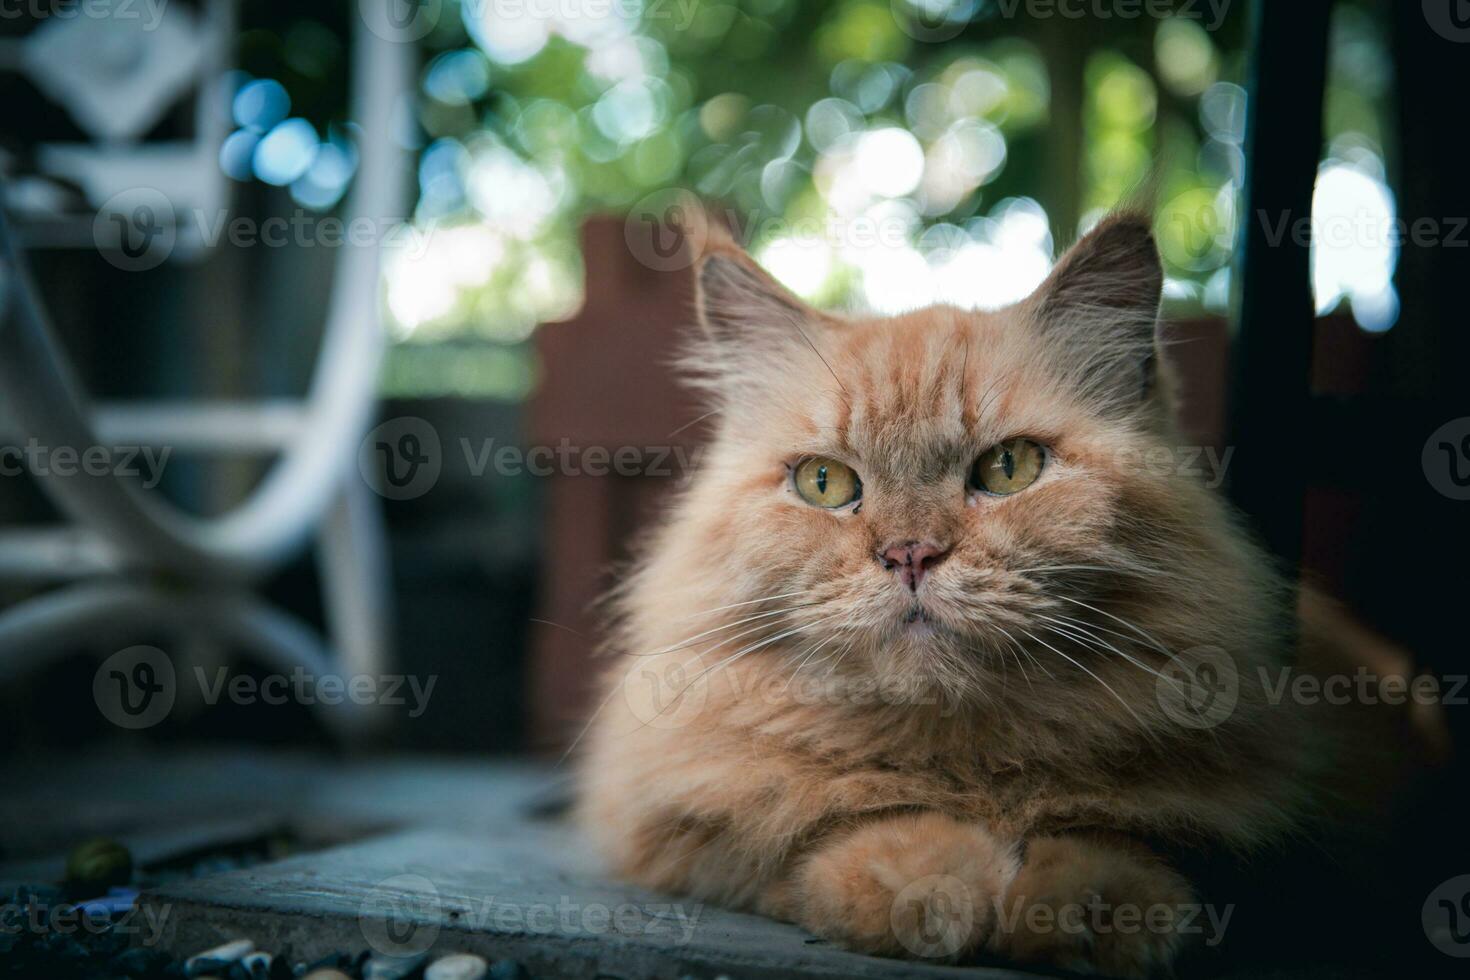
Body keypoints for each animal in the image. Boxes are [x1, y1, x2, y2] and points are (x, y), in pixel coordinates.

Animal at [576, 215, 1422, 980]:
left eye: (1010, 468)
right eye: (824, 483)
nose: (909, 554)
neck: (968, 766)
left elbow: (1129, 846)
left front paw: (1087, 909)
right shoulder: (674, 822)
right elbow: (826, 833)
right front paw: (935, 882)